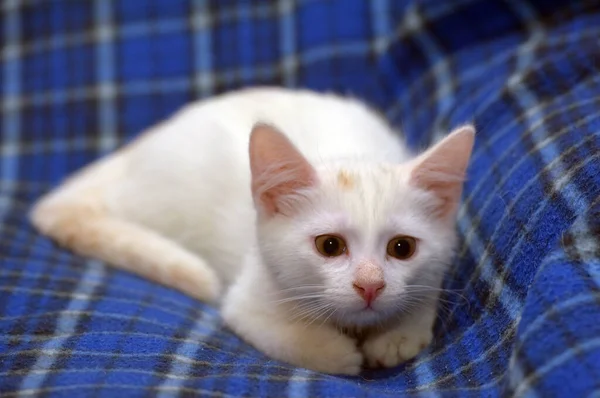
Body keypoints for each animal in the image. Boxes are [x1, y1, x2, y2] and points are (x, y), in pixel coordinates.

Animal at [31, 86, 474, 374]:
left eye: (402, 248)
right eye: (329, 245)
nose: (370, 286)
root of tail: (131, 151)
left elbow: (423, 296)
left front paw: (398, 334)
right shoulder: (246, 299)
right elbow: (282, 334)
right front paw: (334, 351)